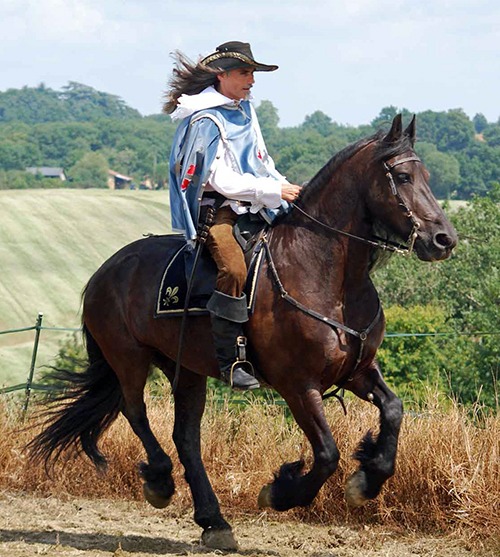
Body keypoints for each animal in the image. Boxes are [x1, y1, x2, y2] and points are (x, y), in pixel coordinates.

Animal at [27, 115, 458, 548]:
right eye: (402, 176)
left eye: (427, 175)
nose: (444, 240)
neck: (323, 274)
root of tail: (106, 270)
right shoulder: (298, 385)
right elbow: (326, 454)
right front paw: (281, 493)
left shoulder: (357, 371)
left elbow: (394, 409)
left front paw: (367, 479)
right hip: (128, 358)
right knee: (136, 412)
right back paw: (161, 482)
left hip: (186, 370)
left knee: (186, 437)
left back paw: (213, 521)